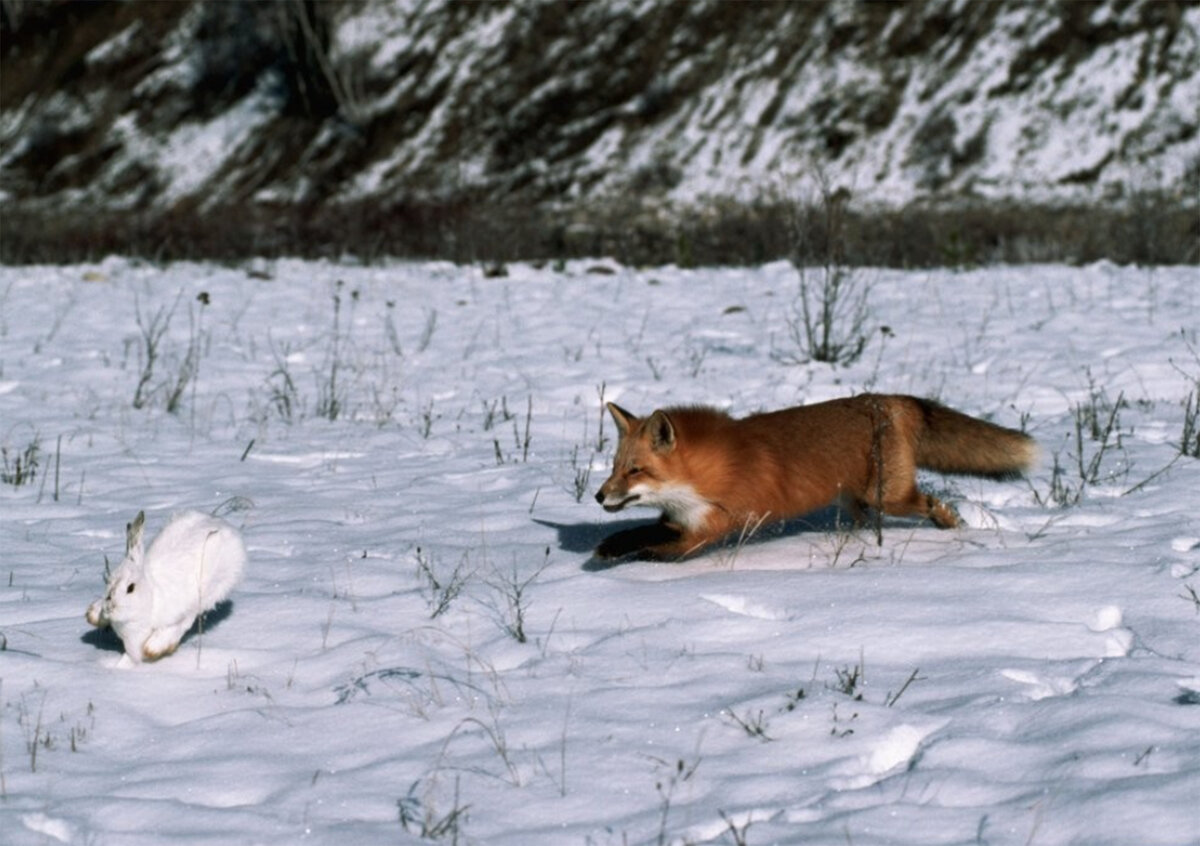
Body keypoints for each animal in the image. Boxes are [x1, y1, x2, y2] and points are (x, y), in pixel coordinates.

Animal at [595, 396, 1036, 561]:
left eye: (635, 471)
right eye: (614, 467)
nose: (598, 497)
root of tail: (888, 399)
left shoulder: (708, 527)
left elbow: (657, 547)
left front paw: (622, 556)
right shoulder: (680, 519)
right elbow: (638, 533)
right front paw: (611, 547)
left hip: (886, 497)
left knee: (931, 503)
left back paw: (952, 526)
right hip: (856, 500)